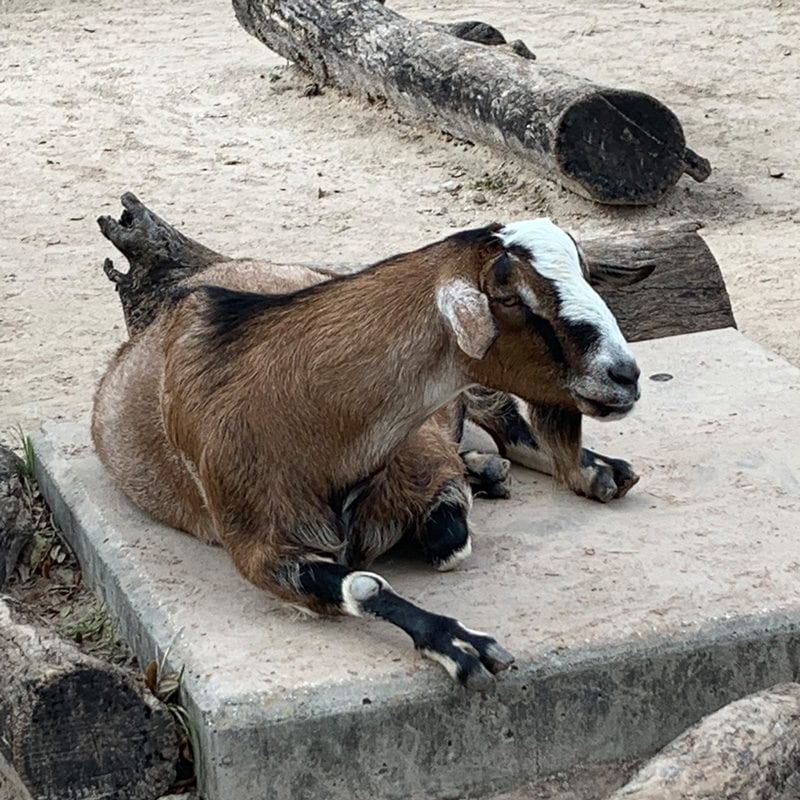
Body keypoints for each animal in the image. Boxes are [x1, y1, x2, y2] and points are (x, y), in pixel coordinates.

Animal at [92, 219, 644, 688]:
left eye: (586, 275)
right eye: (509, 296)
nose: (625, 375)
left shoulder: (429, 460)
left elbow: (450, 538)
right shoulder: (257, 548)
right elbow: (364, 583)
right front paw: (459, 643)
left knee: (501, 417)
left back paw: (594, 471)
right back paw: (494, 469)